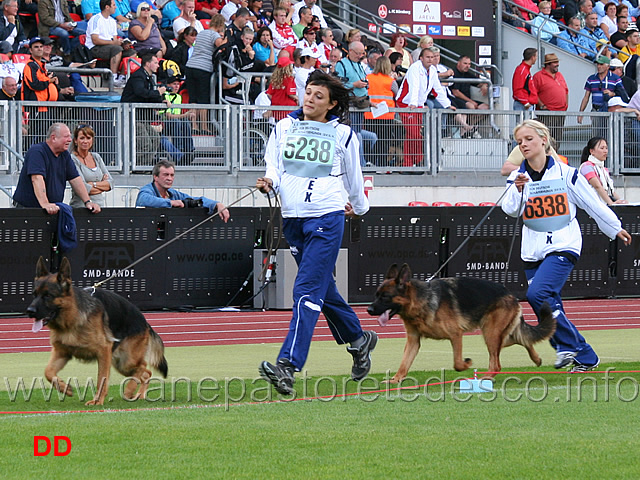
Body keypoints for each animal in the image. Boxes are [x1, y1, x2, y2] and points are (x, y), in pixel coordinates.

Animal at [27, 256, 169, 404]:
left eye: (47, 295)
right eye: (34, 294)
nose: (29, 311)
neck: (71, 320)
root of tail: (145, 322)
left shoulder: (103, 351)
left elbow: (102, 378)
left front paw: (97, 400)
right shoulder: (62, 352)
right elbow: (48, 372)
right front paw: (64, 387)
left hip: (125, 361)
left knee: (144, 370)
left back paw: (130, 390)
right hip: (120, 363)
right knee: (145, 372)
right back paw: (138, 394)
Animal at [368, 262, 556, 382]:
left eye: (385, 297)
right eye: (376, 294)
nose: (369, 310)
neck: (421, 300)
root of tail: (510, 294)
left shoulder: (455, 334)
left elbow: (457, 363)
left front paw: (467, 364)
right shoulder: (413, 341)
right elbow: (404, 363)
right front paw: (395, 380)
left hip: (491, 334)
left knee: (497, 363)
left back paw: (486, 377)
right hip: (497, 335)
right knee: (522, 339)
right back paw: (536, 359)